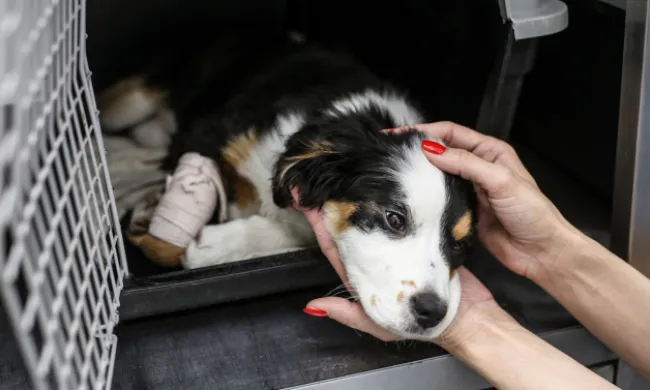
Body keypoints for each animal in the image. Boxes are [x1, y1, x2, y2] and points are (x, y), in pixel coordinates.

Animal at [100, 26, 476, 338]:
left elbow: (298, 227)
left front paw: (216, 244)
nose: (432, 313)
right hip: (133, 101)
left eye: (460, 245)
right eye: (394, 219)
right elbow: (168, 241)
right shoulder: (202, 136)